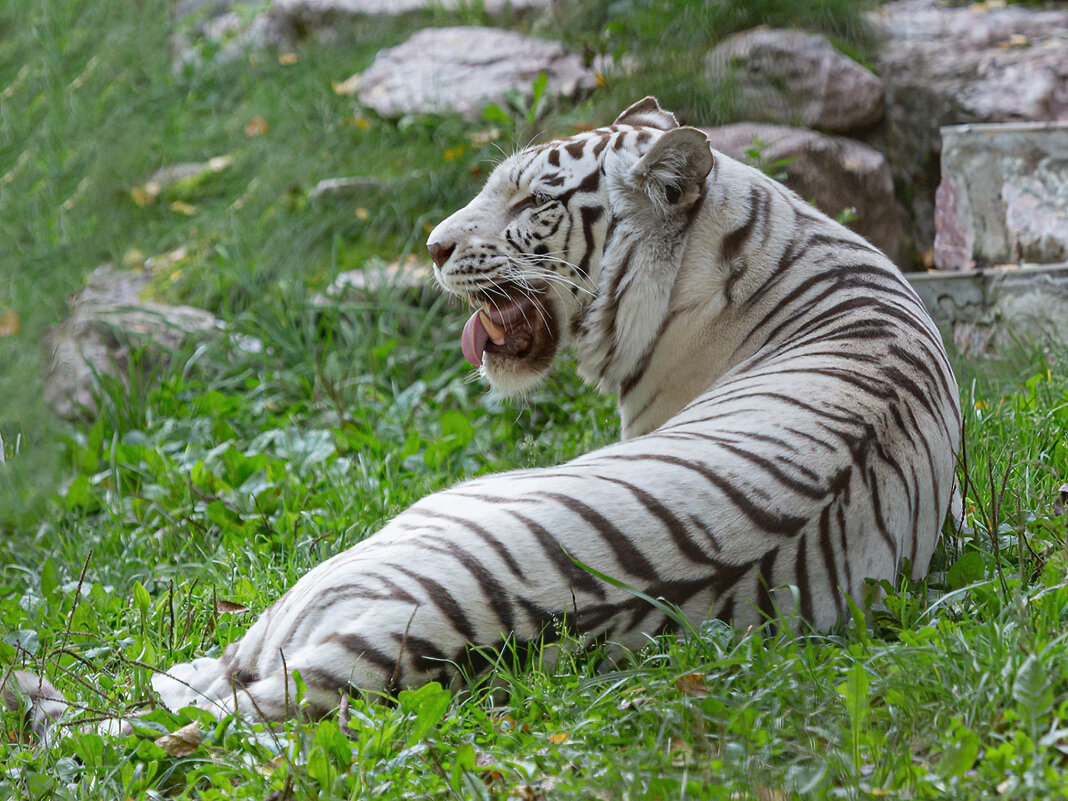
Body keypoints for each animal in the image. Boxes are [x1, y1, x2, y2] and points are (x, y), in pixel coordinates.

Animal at [10, 95, 961, 726]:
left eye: (536, 202)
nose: (432, 246)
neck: (751, 245)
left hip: (375, 543)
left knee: (214, 682)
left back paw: (161, 675)